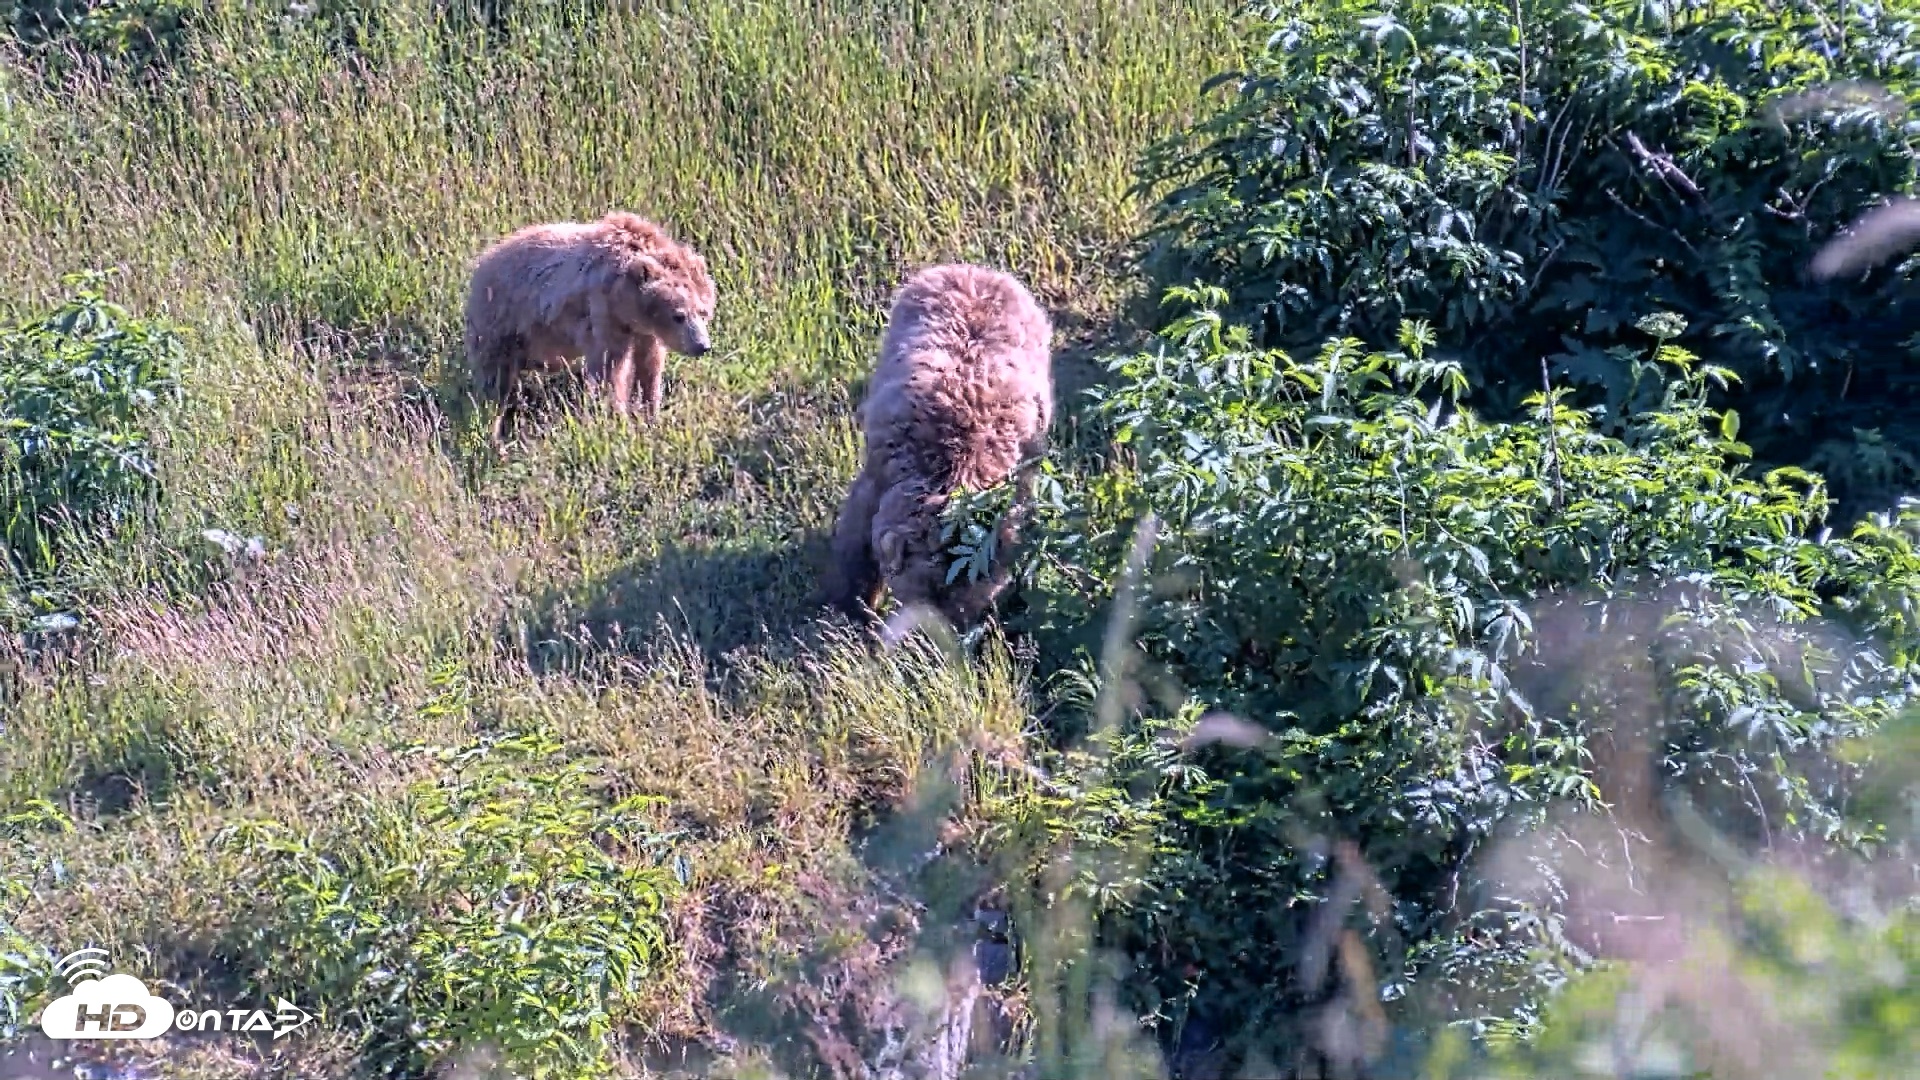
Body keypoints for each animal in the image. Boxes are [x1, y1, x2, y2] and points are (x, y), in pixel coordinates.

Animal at [462, 211, 717, 439]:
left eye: (703, 312)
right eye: (679, 315)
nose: (702, 346)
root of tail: (480, 264)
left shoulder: (644, 332)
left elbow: (649, 366)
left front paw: (650, 413)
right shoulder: (604, 316)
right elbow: (610, 368)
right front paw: (618, 418)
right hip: (500, 322)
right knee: (495, 380)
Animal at [823, 263, 1055, 631]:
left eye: (961, 606)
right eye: (921, 594)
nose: (936, 635)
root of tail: (975, 269)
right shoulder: (881, 471)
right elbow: (856, 537)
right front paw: (854, 604)